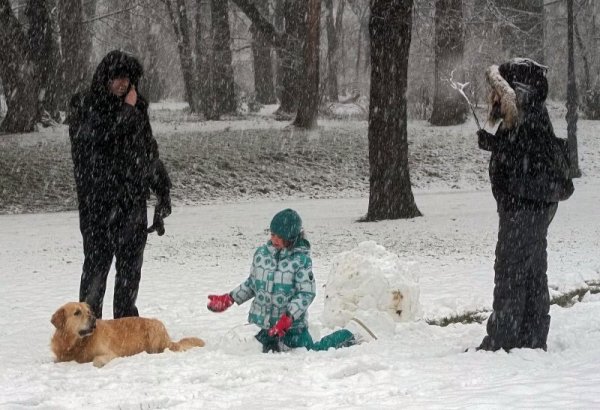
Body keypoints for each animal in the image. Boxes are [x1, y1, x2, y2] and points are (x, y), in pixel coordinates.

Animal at [49, 302, 204, 368]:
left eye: (88, 312)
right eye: (77, 313)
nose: (93, 319)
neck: (77, 343)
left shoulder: (110, 353)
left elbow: (96, 360)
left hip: (154, 332)